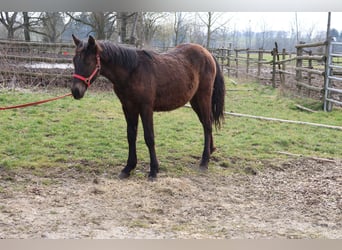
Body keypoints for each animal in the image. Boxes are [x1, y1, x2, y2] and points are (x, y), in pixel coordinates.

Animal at [71, 34, 226, 180]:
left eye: (88, 61)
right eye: (74, 60)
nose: (75, 91)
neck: (132, 71)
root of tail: (208, 53)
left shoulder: (146, 108)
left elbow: (149, 137)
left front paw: (153, 171)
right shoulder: (128, 107)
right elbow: (131, 135)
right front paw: (128, 168)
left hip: (203, 97)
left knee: (207, 125)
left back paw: (204, 161)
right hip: (194, 100)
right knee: (206, 122)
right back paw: (211, 150)